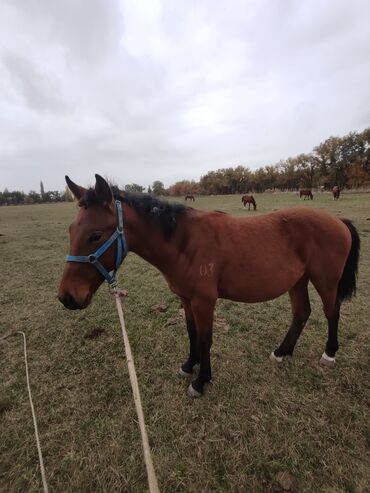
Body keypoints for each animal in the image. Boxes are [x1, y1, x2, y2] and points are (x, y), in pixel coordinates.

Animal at [59, 174, 360, 396]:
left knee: (331, 312)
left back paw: (329, 354)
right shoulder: (186, 298)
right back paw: (281, 352)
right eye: (71, 230)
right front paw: (188, 366)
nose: (67, 297)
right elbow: (192, 334)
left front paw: (201, 381)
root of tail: (338, 220)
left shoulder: (204, 301)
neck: (184, 242)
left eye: (96, 235)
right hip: (297, 281)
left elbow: (205, 338)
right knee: (301, 313)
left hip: (325, 281)